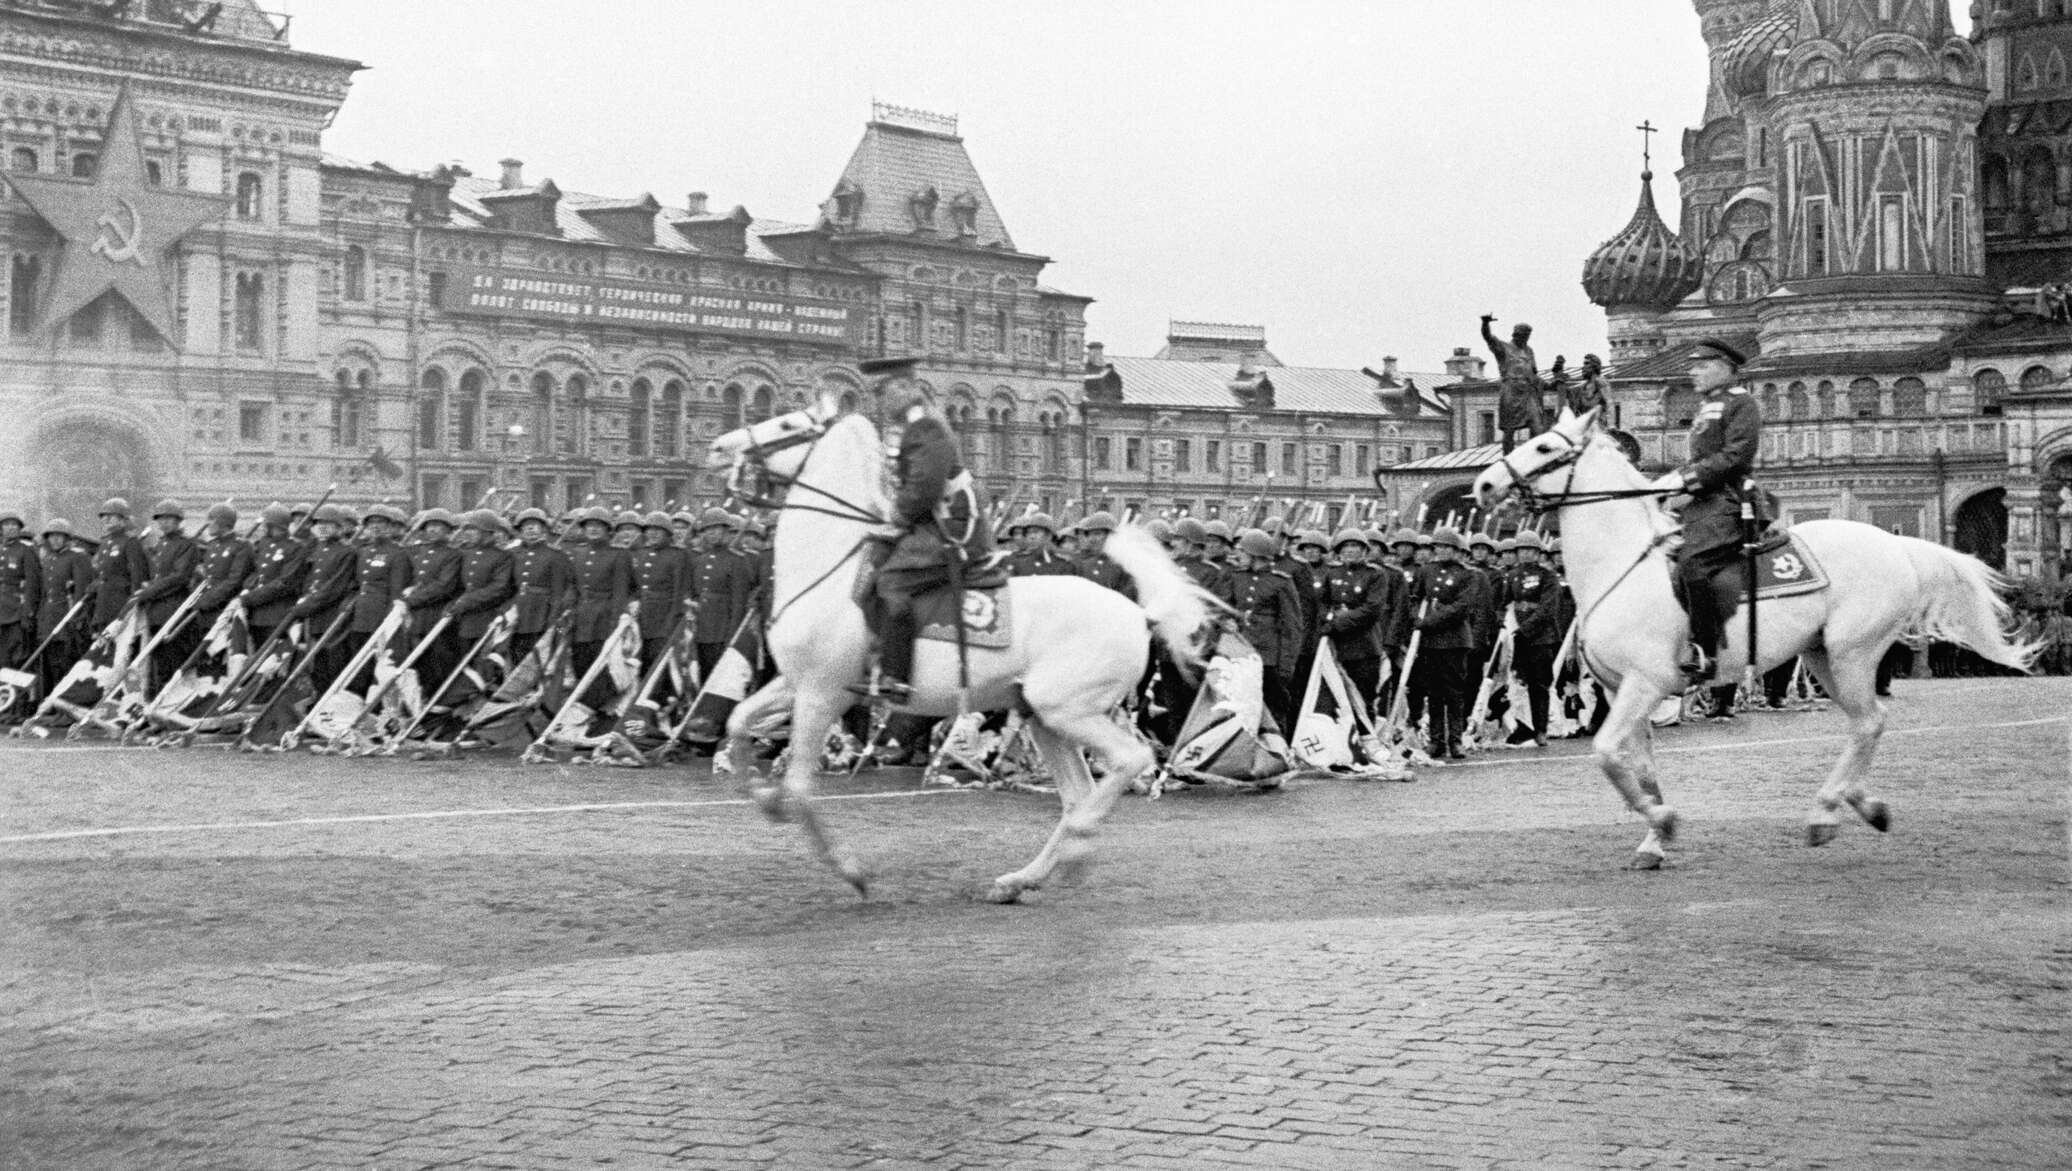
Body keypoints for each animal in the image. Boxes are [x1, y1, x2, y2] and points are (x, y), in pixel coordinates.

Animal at [716, 387, 1226, 899]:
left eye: (787, 425)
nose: (721, 447)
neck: (831, 572)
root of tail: (1139, 613)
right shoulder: (796, 684)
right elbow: (739, 722)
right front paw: (758, 793)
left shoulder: (824, 694)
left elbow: (800, 789)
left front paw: (851, 869)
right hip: (1044, 717)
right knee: (1078, 793)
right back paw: (1024, 877)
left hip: (1068, 709)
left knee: (1129, 760)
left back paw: (1077, 843)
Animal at [1475, 406, 2038, 862]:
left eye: (1544, 447)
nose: (1483, 485)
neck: (1623, 566)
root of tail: (1895, 544)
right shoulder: (1620, 689)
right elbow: (1640, 767)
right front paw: (1655, 840)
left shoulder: (1645, 683)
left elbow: (1608, 754)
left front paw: (1663, 823)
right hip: (1823, 658)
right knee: (1867, 722)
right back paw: (1862, 804)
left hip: (1852, 653)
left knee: (1869, 723)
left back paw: (1826, 812)